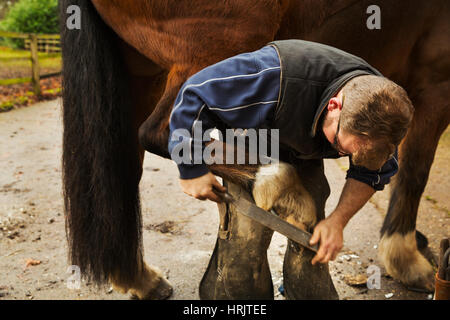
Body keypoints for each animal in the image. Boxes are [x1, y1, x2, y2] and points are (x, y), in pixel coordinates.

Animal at [60, 0, 450, 300]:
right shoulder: (435, 81)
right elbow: (415, 172)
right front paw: (407, 258)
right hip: (216, 47)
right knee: (161, 132)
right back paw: (279, 185)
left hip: (140, 73)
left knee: (123, 168)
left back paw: (139, 278)